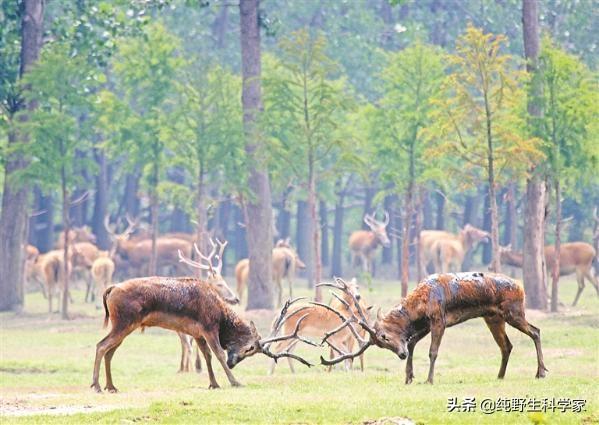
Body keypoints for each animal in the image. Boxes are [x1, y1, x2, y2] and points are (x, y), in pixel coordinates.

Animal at [91, 280, 314, 392]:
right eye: (250, 348)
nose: (234, 363)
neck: (221, 317)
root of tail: (110, 290)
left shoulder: (196, 333)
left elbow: (206, 356)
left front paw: (213, 384)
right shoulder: (208, 327)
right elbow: (218, 354)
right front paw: (235, 382)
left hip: (125, 324)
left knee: (110, 351)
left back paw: (111, 386)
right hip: (125, 322)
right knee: (101, 345)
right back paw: (97, 386)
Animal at [318, 274, 548, 386]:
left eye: (383, 336)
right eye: (381, 345)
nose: (400, 355)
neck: (419, 308)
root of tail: (520, 286)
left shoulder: (439, 319)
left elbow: (433, 352)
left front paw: (428, 380)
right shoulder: (425, 325)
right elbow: (412, 342)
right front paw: (408, 377)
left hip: (513, 311)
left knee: (536, 331)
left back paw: (541, 372)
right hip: (493, 318)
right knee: (507, 345)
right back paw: (500, 376)